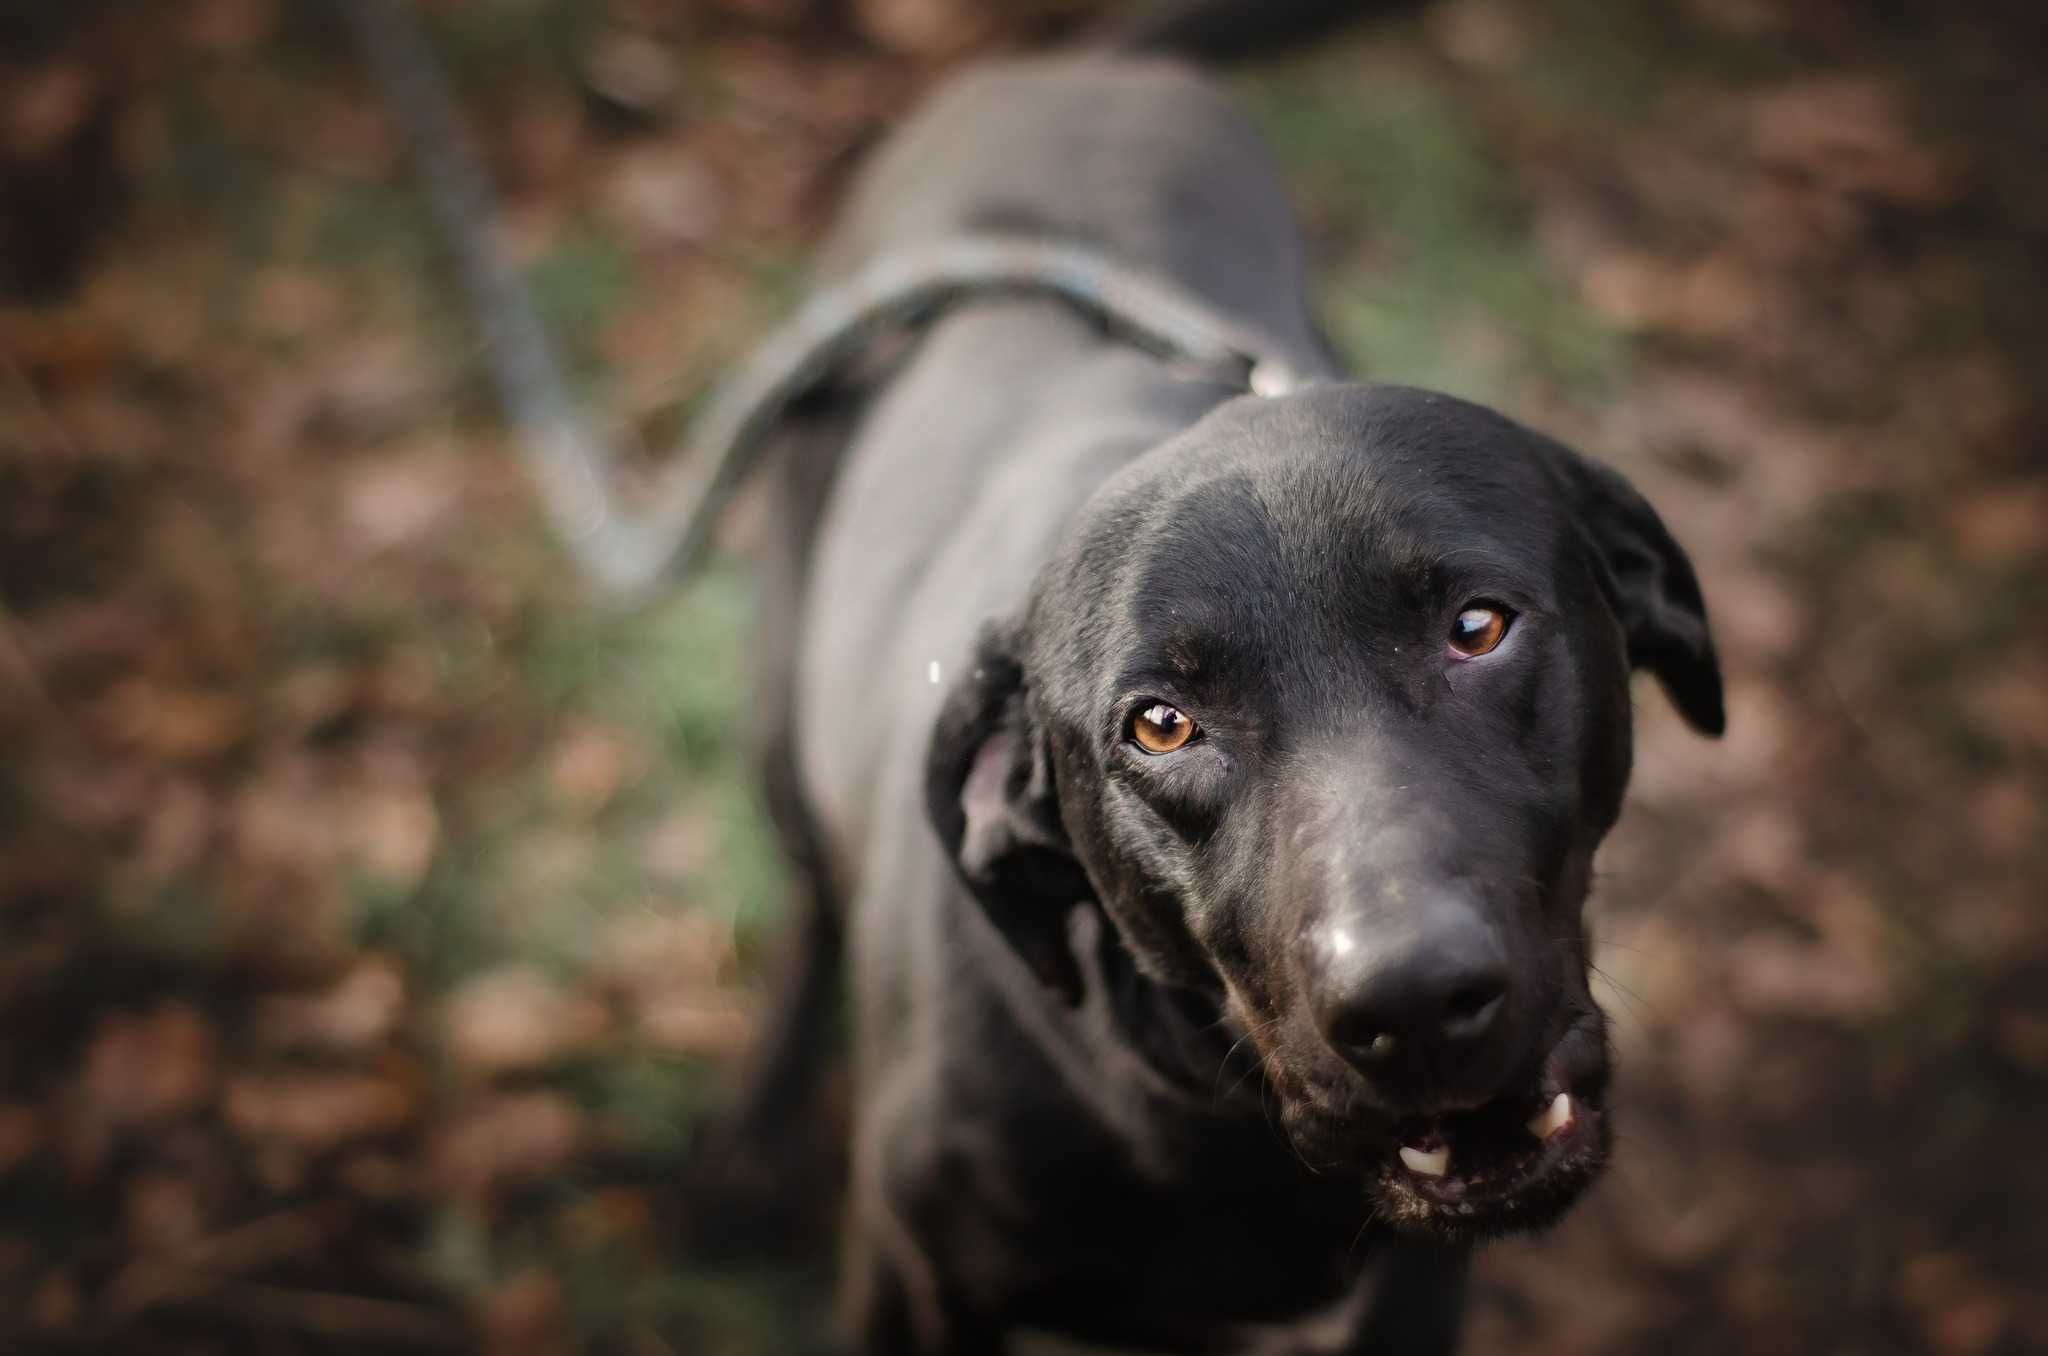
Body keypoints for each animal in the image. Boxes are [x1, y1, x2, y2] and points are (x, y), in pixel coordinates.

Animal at [729, 37, 1720, 1351]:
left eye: (1476, 627)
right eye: (1160, 725)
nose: (1412, 1002)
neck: (1218, 1133)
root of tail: (1080, 59)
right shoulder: (916, 1282)